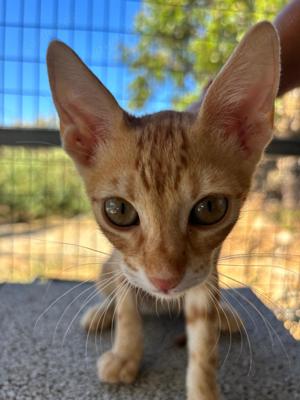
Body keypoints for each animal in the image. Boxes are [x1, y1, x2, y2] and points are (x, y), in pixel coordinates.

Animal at [46, 21, 278, 400]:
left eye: (210, 208)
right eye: (118, 210)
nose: (164, 281)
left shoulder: (204, 273)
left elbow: (204, 342)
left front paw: (204, 389)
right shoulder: (124, 263)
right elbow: (127, 308)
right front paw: (126, 355)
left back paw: (224, 314)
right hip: (106, 268)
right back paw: (101, 313)